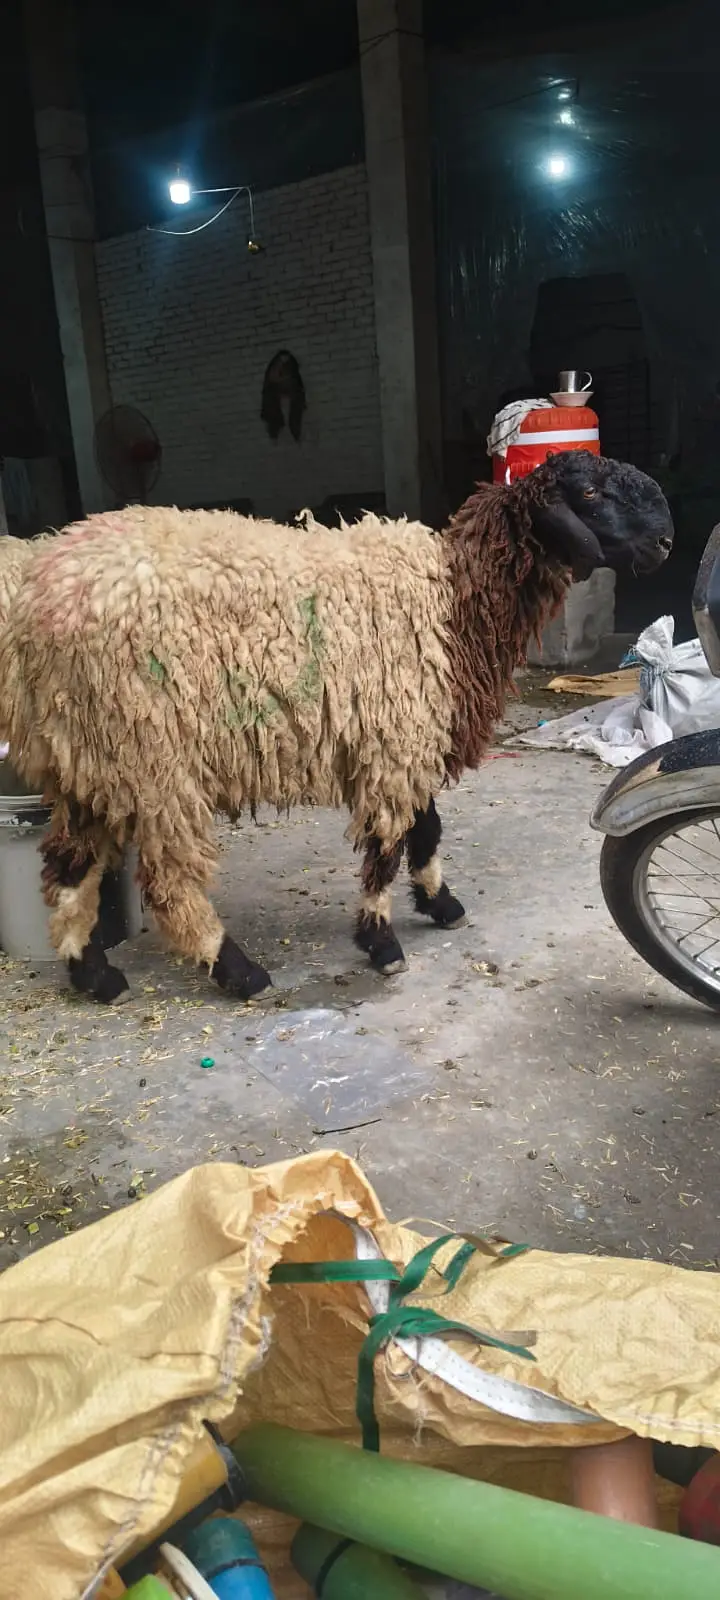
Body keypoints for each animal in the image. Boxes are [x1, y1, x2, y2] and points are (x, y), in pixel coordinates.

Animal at [0, 451, 672, 1003]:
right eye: (589, 492)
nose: (666, 540)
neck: (453, 599)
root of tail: (38, 594)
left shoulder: (407, 736)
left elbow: (426, 829)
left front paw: (440, 903)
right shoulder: (395, 736)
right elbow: (388, 846)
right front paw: (381, 941)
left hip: (90, 752)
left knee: (67, 864)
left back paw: (93, 974)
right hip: (150, 751)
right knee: (169, 881)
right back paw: (236, 971)